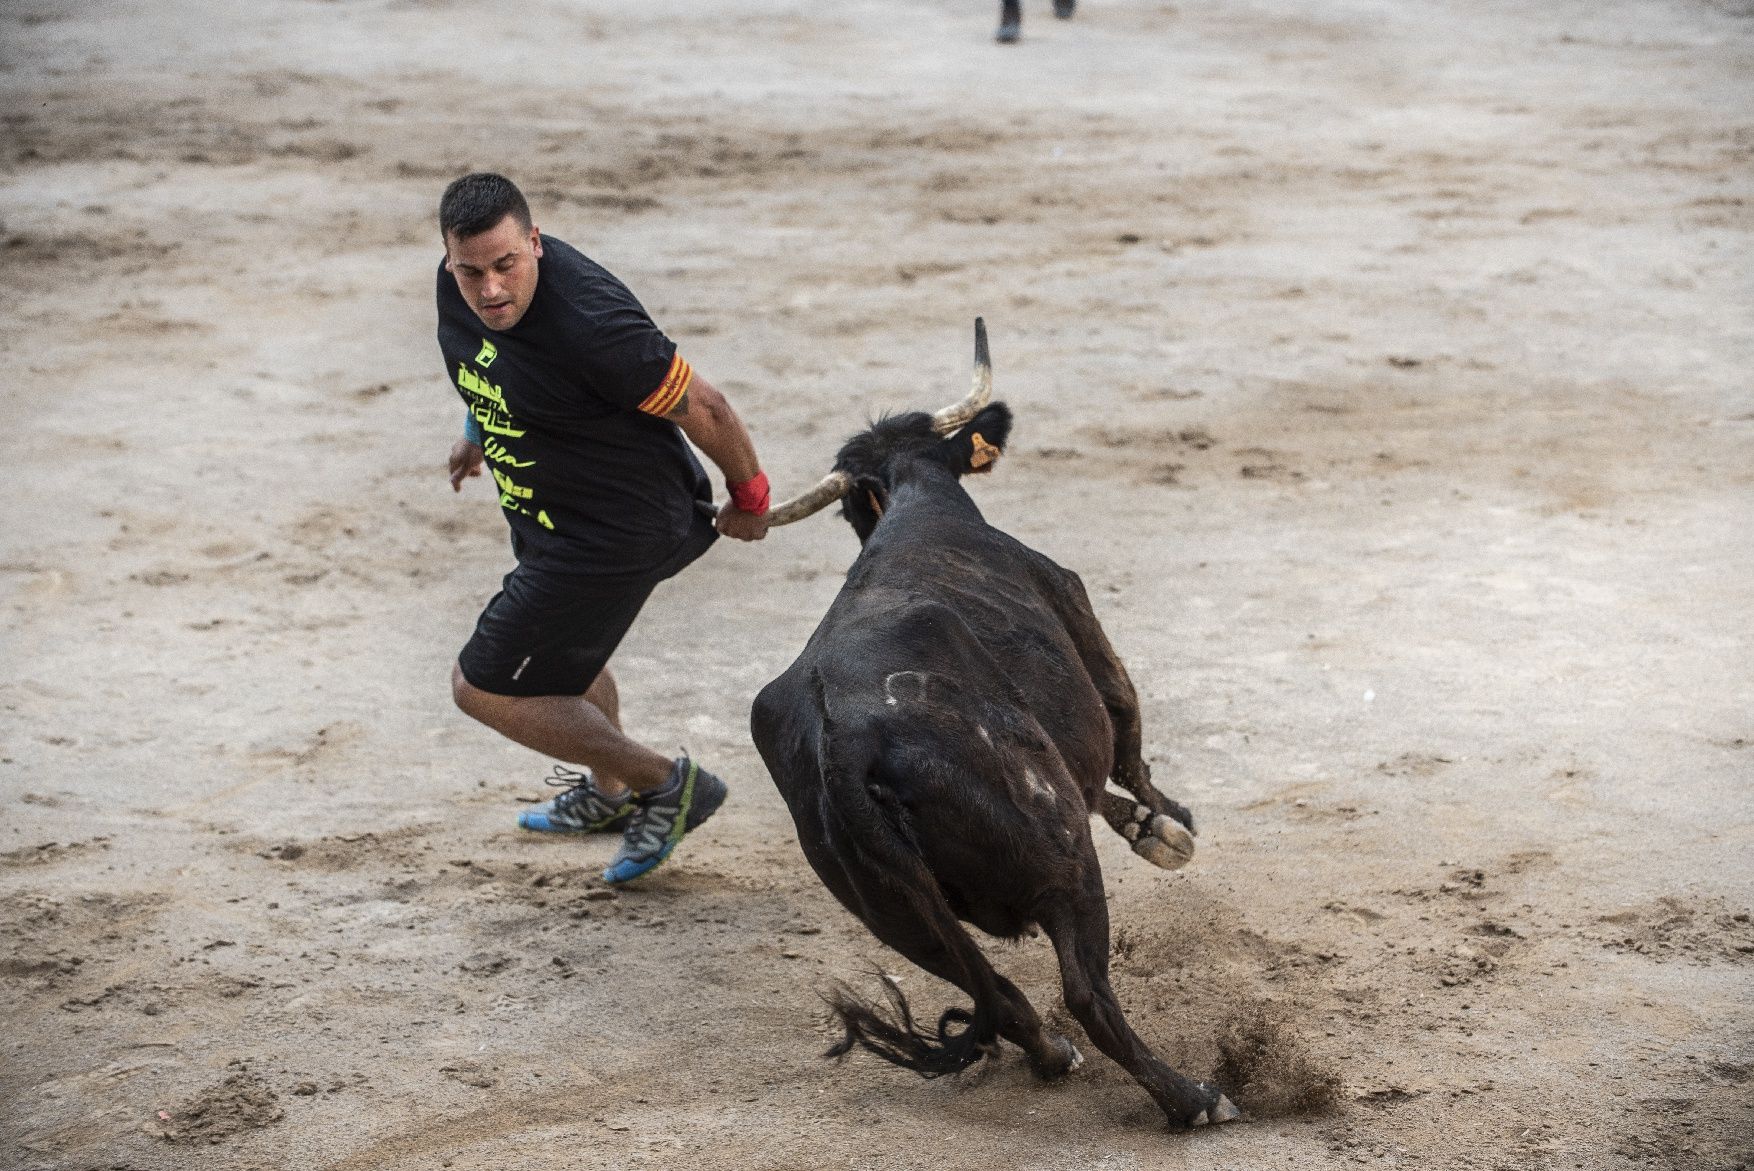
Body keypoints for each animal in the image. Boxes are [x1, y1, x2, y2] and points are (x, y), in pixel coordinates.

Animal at [747, 382, 1241, 1121]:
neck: (919, 496)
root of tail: (843, 742)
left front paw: (1150, 825)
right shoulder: (1078, 611)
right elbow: (1126, 732)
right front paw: (1167, 820)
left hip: (904, 921)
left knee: (1001, 995)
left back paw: (1055, 1056)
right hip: (1060, 857)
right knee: (1086, 991)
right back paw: (1194, 1099)